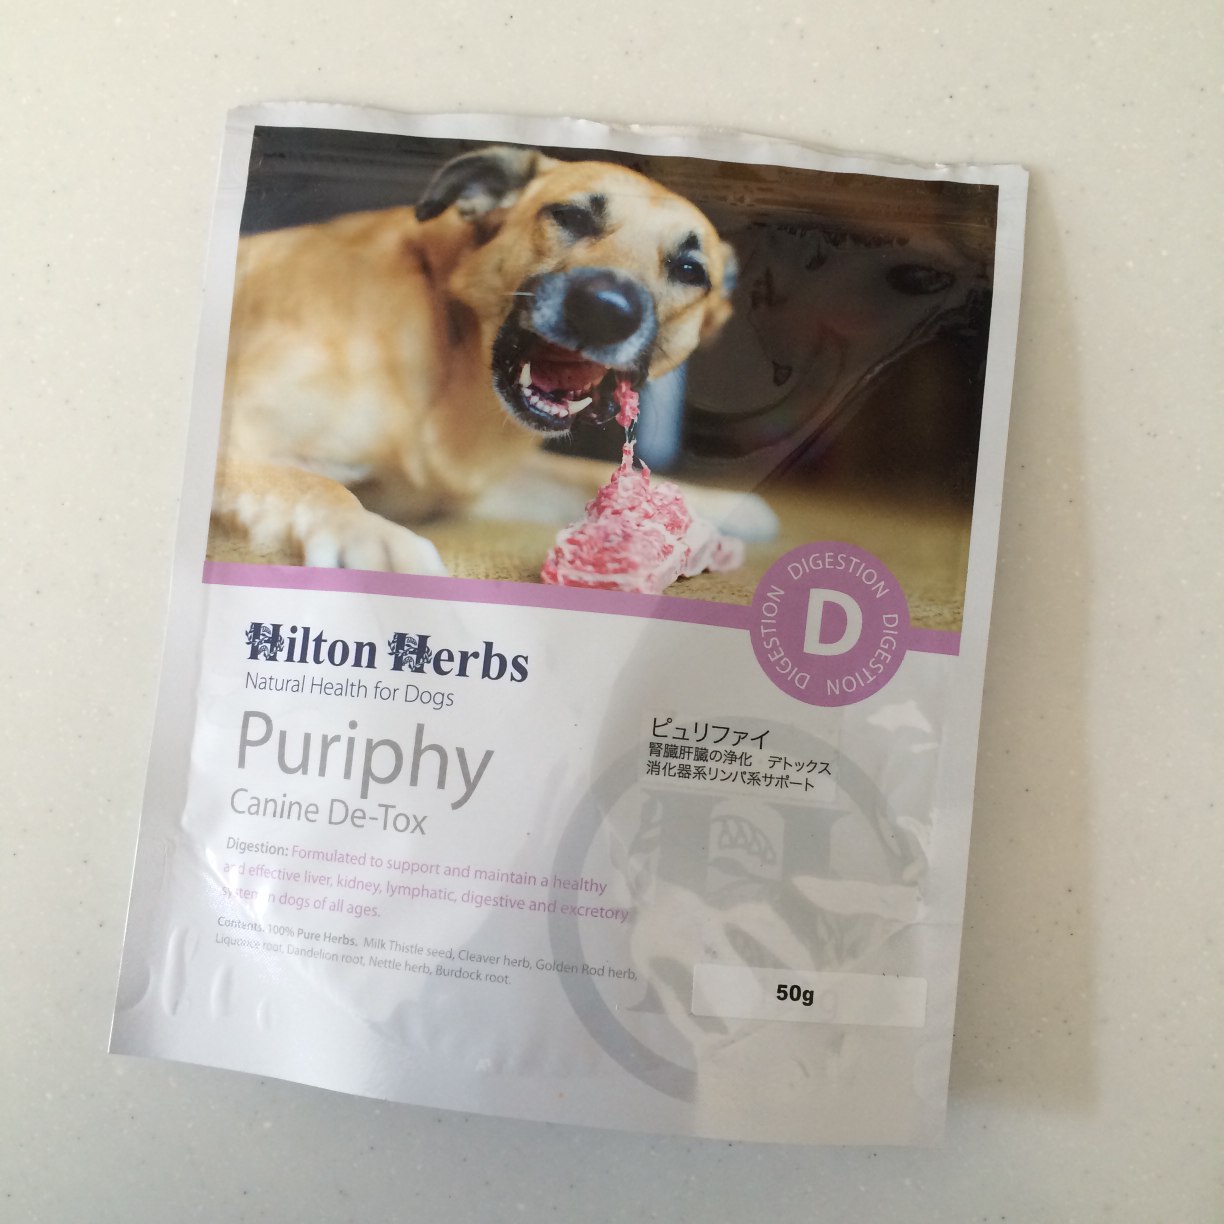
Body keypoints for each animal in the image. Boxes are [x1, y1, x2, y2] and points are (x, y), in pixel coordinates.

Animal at [211, 145, 756, 575]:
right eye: (571, 217)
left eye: (690, 270)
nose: (606, 312)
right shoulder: (236, 438)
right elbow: (312, 483)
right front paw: (370, 536)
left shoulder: (475, 488)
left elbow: (579, 471)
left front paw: (724, 504)